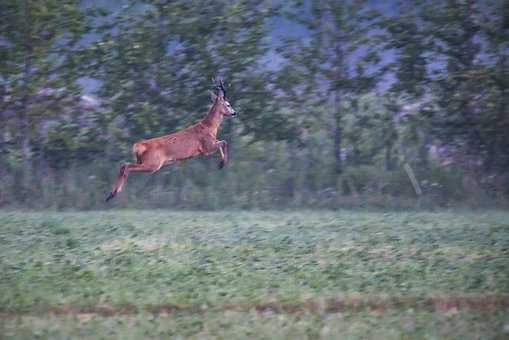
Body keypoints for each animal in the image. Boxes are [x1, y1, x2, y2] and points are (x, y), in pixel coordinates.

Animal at [106, 77, 237, 202]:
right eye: (228, 104)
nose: (234, 113)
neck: (209, 127)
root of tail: (139, 146)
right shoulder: (206, 147)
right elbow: (224, 142)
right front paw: (222, 164)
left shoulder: (210, 144)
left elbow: (222, 142)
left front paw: (221, 164)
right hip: (153, 164)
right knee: (127, 166)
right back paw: (114, 193)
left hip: (142, 161)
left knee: (123, 165)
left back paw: (110, 195)